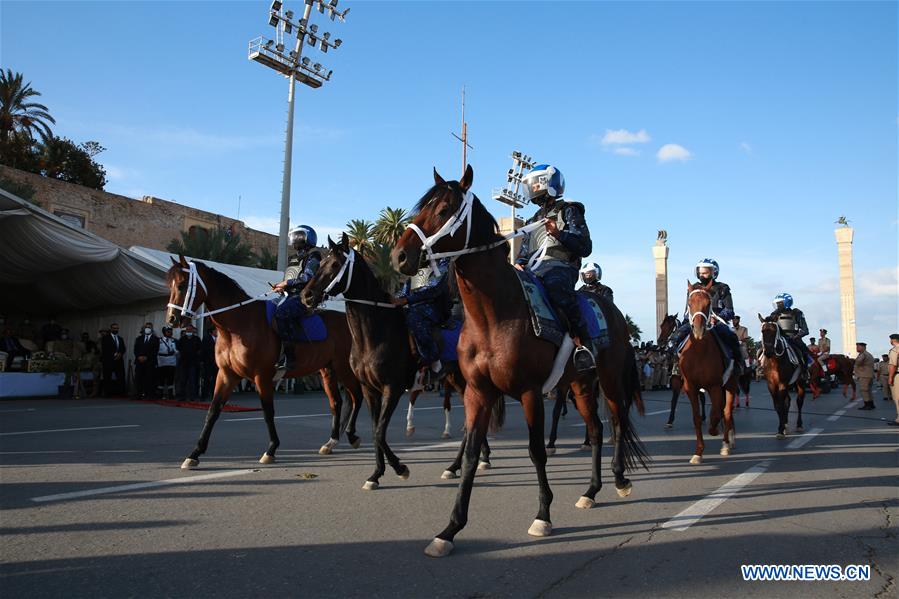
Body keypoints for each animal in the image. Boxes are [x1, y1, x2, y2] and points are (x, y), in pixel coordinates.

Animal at [167, 256, 364, 468]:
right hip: (328, 370)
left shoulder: (262, 376)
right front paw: (194, 453)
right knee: (336, 403)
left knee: (357, 397)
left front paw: (271, 449)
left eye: (182, 285)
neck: (239, 325)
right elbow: (213, 411)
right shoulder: (227, 374)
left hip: (344, 368)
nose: (171, 319)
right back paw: (331, 442)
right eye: (170, 285)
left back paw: (352, 436)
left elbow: (268, 412)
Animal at [302, 234, 500, 488]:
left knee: (469, 426)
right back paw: (468, 462)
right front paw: (376, 474)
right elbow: (375, 430)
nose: (306, 295)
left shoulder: (392, 389)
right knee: (471, 424)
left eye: (335, 264)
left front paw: (400, 468)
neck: (375, 332)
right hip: (458, 381)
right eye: (321, 263)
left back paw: (457, 466)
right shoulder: (370, 390)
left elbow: (379, 432)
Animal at [394, 165, 648, 556]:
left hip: (609, 379)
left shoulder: (530, 393)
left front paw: (543, 515)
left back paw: (620, 480)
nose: (399, 256)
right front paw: (450, 529)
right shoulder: (477, 392)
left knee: (618, 422)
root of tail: (614, 311)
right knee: (596, 429)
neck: (494, 315)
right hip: (580, 385)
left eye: (444, 209)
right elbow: (471, 453)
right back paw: (591, 491)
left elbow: (536, 452)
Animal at [680, 282, 736, 464]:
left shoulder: (715, 386)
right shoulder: (690, 387)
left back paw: (726, 443)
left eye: (707, 304)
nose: (698, 330)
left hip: (730, 384)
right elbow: (697, 418)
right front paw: (698, 452)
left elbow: (717, 413)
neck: (699, 351)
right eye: (690, 303)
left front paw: (715, 431)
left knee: (726, 411)